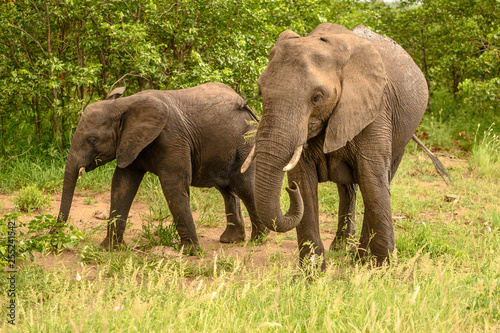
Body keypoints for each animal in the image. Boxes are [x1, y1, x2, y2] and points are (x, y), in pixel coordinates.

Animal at [55, 81, 268, 253]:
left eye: (92, 140)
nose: (53, 235)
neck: (124, 104)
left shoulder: (171, 138)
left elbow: (173, 186)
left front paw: (189, 252)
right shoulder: (130, 143)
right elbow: (121, 186)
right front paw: (107, 250)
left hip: (245, 140)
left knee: (244, 186)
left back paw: (258, 239)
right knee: (226, 189)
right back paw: (231, 240)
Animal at [244, 22, 432, 268]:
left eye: (316, 98)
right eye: (260, 91)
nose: (289, 189)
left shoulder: (375, 109)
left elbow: (373, 180)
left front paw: (383, 269)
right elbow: (303, 180)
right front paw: (312, 272)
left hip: (403, 134)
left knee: (379, 181)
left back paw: (360, 257)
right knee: (348, 188)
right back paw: (342, 248)